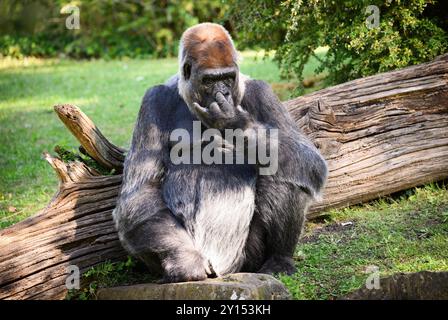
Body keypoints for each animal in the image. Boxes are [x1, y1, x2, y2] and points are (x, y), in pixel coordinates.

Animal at [112, 23, 328, 282]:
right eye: (209, 80)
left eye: (227, 77)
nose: (223, 94)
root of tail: (224, 272)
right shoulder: (153, 98)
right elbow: (141, 189)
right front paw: (185, 260)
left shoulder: (262, 91)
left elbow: (310, 160)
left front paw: (233, 121)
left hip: (245, 260)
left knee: (286, 175)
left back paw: (279, 259)